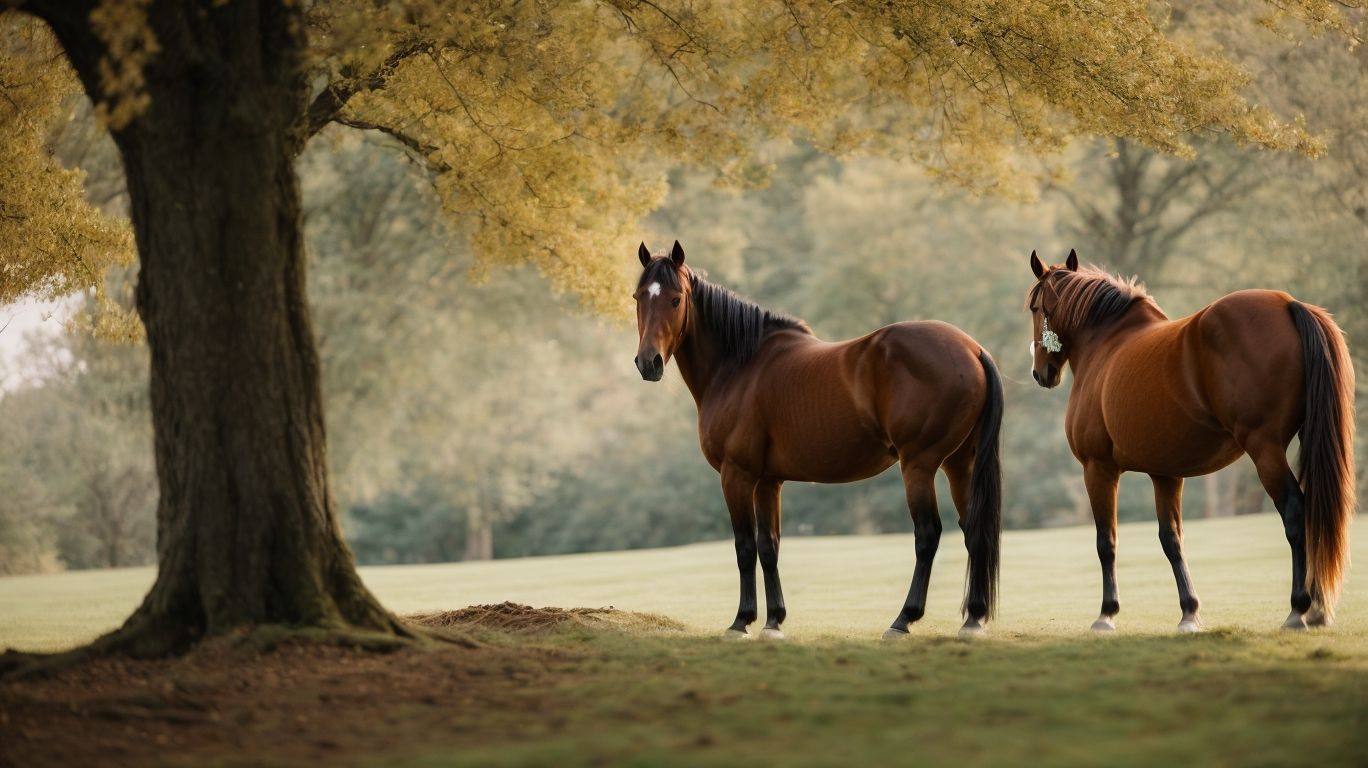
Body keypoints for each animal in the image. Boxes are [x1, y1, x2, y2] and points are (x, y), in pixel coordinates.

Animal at [633, 241, 1004, 639]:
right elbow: (769, 547)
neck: (738, 366)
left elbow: (745, 548)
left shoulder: (737, 474)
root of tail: (973, 349)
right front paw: (774, 621)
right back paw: (973, 618)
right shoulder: (768, 481)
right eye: (638, 297)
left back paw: (904, 619)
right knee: (974, 530)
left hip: (918, 465)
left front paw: (742, 621)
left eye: (675, 299)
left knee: (927, 534)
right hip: (959, 464)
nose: (648, 363)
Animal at [1026, 249, 1355, 632]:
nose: (1041, 373)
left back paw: (1298, 608)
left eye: (1035, 307)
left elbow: (1106, 541)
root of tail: (1289, 304)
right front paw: (1189, 611)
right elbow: (1172, 540)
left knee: (1295, 512)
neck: (1105, 344)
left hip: (1265, 449)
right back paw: (1317, 608)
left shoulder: (1098, 468)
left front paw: (1107, 613)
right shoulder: (1165, 474)